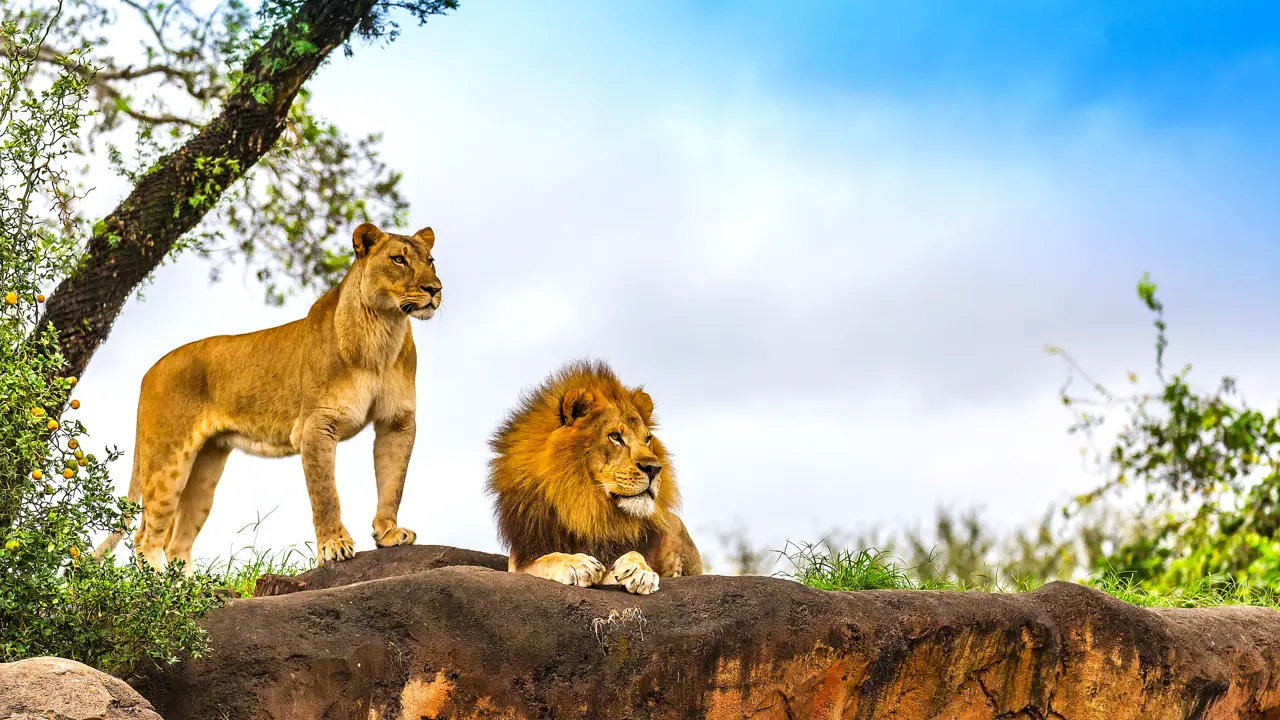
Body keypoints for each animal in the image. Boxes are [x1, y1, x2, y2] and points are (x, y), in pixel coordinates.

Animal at [92, 221, 442, 568]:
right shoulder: (317, 425)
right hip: (168, 460)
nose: (435, 289)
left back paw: (193, 583)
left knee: (176, 542)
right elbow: (325, 493)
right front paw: (334, 545)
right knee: (146, 537)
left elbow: (393, 481)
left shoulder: (398, 421)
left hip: (205, 466)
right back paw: (160, 582)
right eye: (399, 259)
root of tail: (149, 372)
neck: (383, 331)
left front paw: (389, 533)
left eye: (431, 261)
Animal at [483, 361, 701, 591]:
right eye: (615, 437)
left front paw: (639, 570)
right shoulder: (520, 561)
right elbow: (546, 559)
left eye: (647, 439)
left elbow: (633, 556)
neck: (590, 506)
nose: (654, 468)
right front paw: (577, 563)